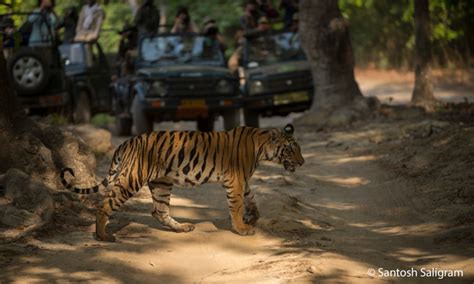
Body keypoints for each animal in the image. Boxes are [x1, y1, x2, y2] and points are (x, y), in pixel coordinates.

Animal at [60, 123, 304, 241]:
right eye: (291, 148)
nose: (302, 162)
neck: (261, 147)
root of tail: (126, 142)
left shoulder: (242, 180)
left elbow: (250, 198)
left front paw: (253, 217)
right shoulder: (235, 180)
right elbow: (236, 205)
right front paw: (242, 229)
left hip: (161, 183)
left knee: (158, 211)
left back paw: (182, 228)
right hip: (132, 179)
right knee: (106, 205)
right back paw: (103, 236)